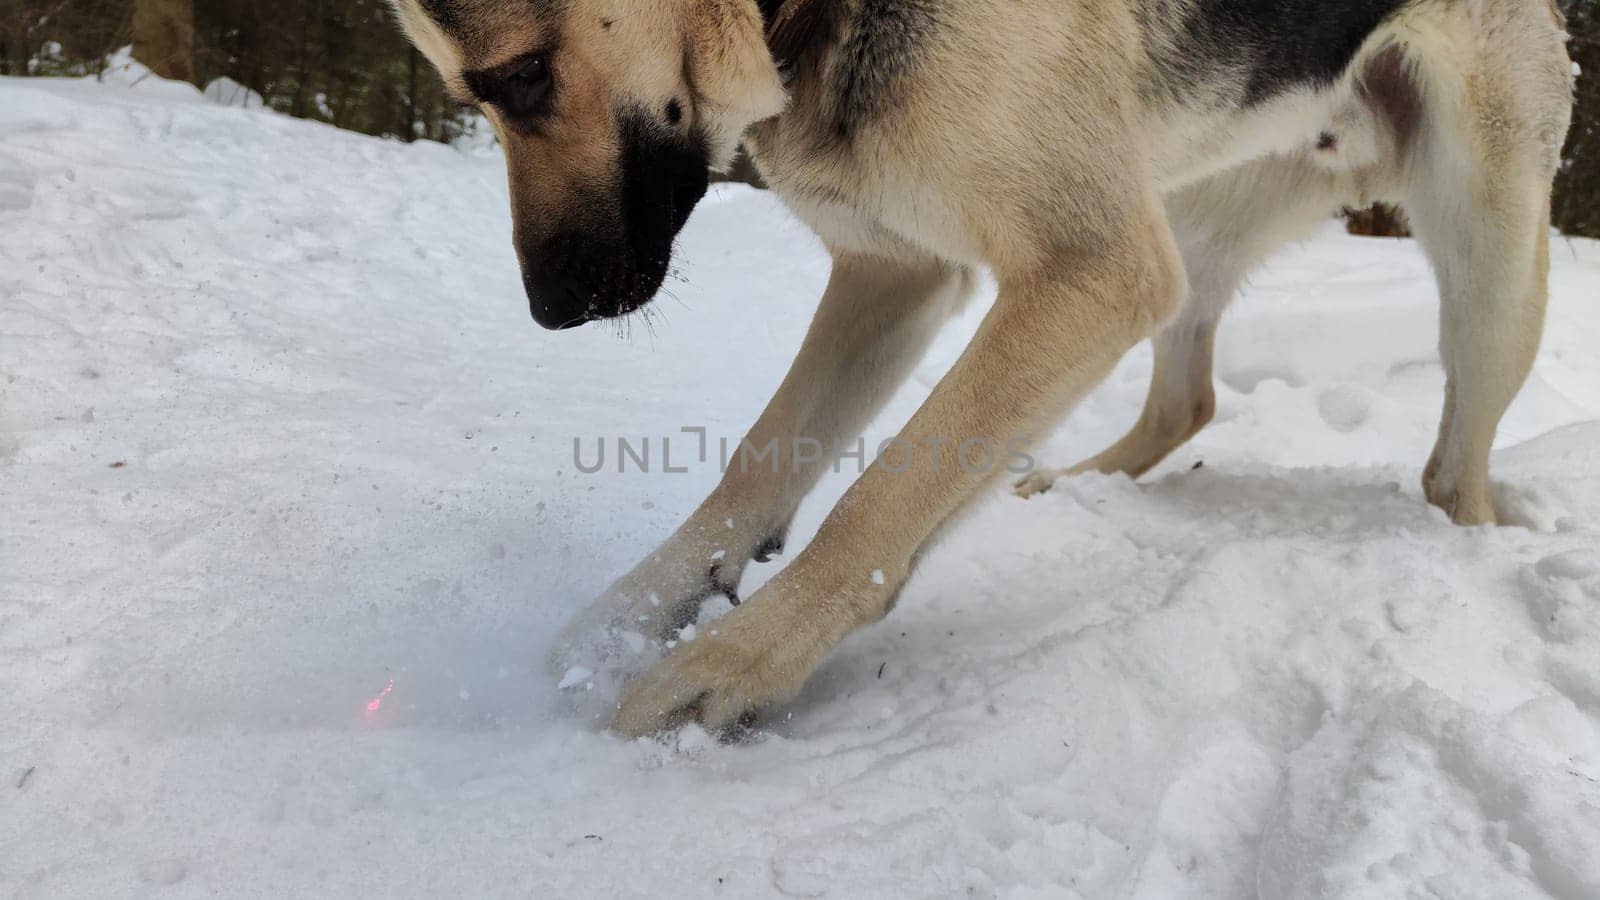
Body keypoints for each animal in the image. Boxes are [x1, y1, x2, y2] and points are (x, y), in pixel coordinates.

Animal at [390, 0, 1574, 733]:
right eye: (479, 88)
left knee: (1449, 471)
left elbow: (875, 501)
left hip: (1484, 252)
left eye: (522, 75)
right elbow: (759, 466)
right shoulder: (893, 272)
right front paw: (629, 618)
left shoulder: (1086, 271)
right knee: (1185, 398)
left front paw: (729, 668)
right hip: (1188, 214)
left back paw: (1469, 541)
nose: (550, 311)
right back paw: (1064, 485)